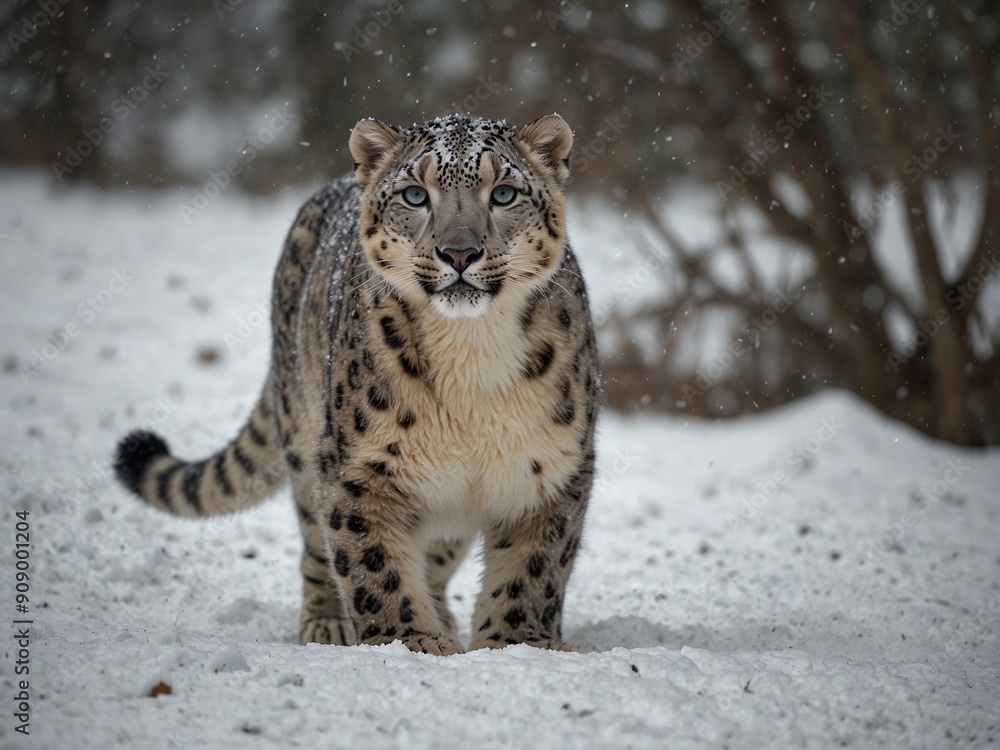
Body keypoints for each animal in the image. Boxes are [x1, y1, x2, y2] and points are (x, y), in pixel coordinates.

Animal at [114, 113, 599, 656]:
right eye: (415, 195)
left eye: (504, 193)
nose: (459, 252)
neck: (470, 354)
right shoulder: (361, 465)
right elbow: (373, 562)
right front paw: (409, 638)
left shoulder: (553, 465)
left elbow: (534, 566)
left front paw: (521, 642)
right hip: (306, 445)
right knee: (317, 547)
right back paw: (329, 624)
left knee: (436, 555)